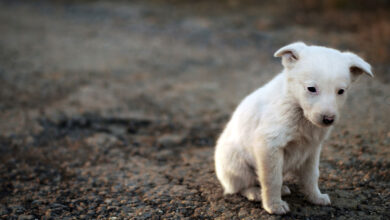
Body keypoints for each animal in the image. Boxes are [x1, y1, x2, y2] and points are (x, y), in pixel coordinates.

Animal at [215, 42, 374, 214]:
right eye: (311, 88)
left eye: (341, 91)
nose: (328, 119)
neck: (299, 111)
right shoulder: (269, 145)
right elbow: (272, 179)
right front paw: (274, 205)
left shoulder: (312, 149)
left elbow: (312, 176)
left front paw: (315, 197)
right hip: (237, 165)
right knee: (241, 186)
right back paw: (255, 192)